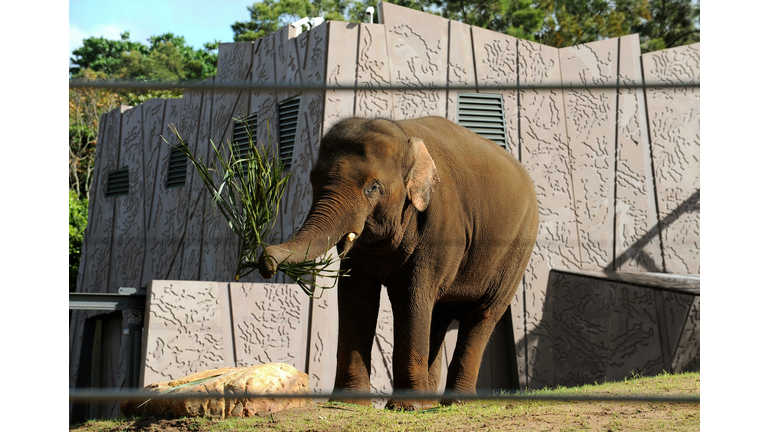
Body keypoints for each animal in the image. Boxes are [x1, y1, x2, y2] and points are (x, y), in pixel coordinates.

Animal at [260, 114, 536, 408]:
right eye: (313, 180)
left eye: (373, 188)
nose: (267, 262)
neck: (403, 134)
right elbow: (356, 298)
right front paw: (349, 404)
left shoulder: (440, 228)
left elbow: (412, 295)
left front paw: (406, 407)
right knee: (438, 314)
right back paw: (433, 403)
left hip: (516, 251)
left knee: (482, 314)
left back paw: (456, 402)